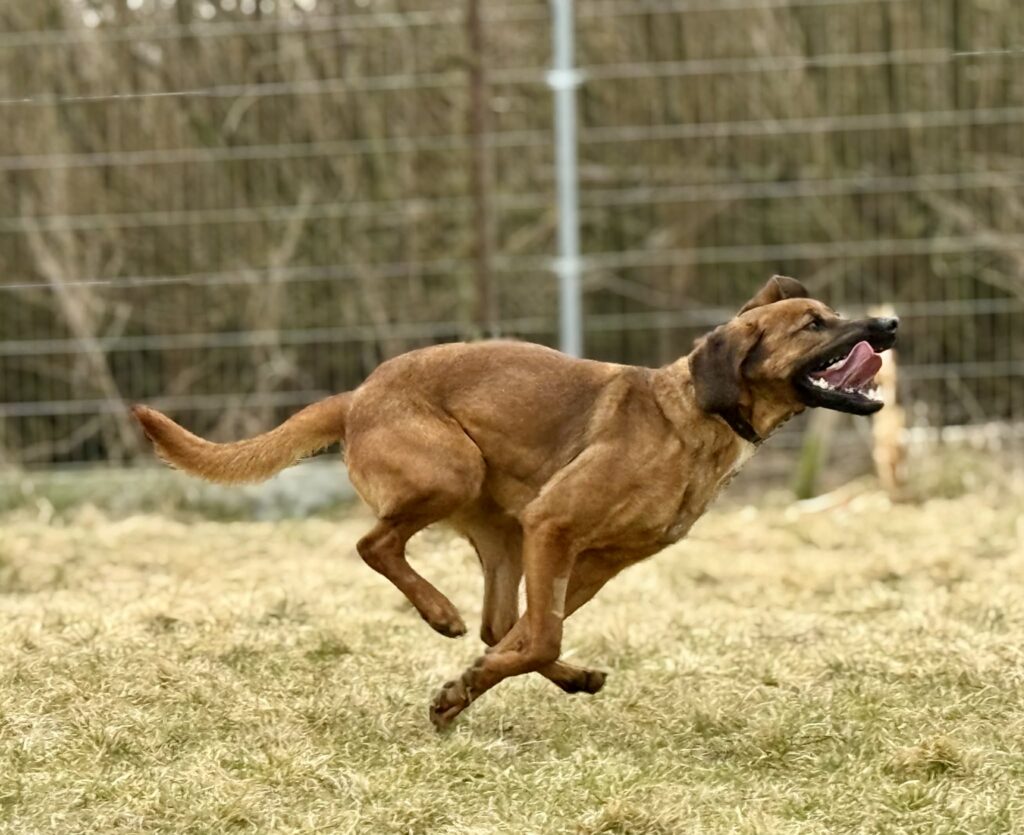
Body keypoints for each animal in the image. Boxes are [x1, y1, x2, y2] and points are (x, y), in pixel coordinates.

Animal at [132, 275, 898, 729]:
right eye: (813, 324)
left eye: (831, 315)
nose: (888, 326)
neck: (691, 417)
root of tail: (357, 396)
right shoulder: (555, 524)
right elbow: (541, 635)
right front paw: (462, 688)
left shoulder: (593, 558)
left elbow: (531, 635)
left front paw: (466, 692)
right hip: (456, 471)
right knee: (378, 545)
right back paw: (439, 614)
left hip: (502, 532)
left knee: (499, 624)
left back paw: (529, 674)